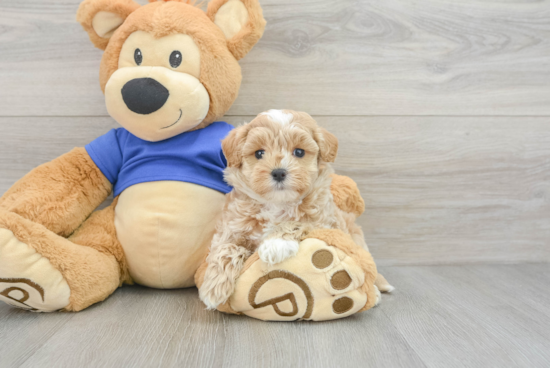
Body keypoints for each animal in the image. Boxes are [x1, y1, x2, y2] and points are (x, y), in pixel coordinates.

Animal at [199, 110, 392, 310]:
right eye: (259, 153)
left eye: (299, 152)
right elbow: (226, 248)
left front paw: (275, 244)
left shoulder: (323, 222)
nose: (278, 172)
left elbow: (298, 222)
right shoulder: (232, 226)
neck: (277, 203)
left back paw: (376, 291)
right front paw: (213, 287)